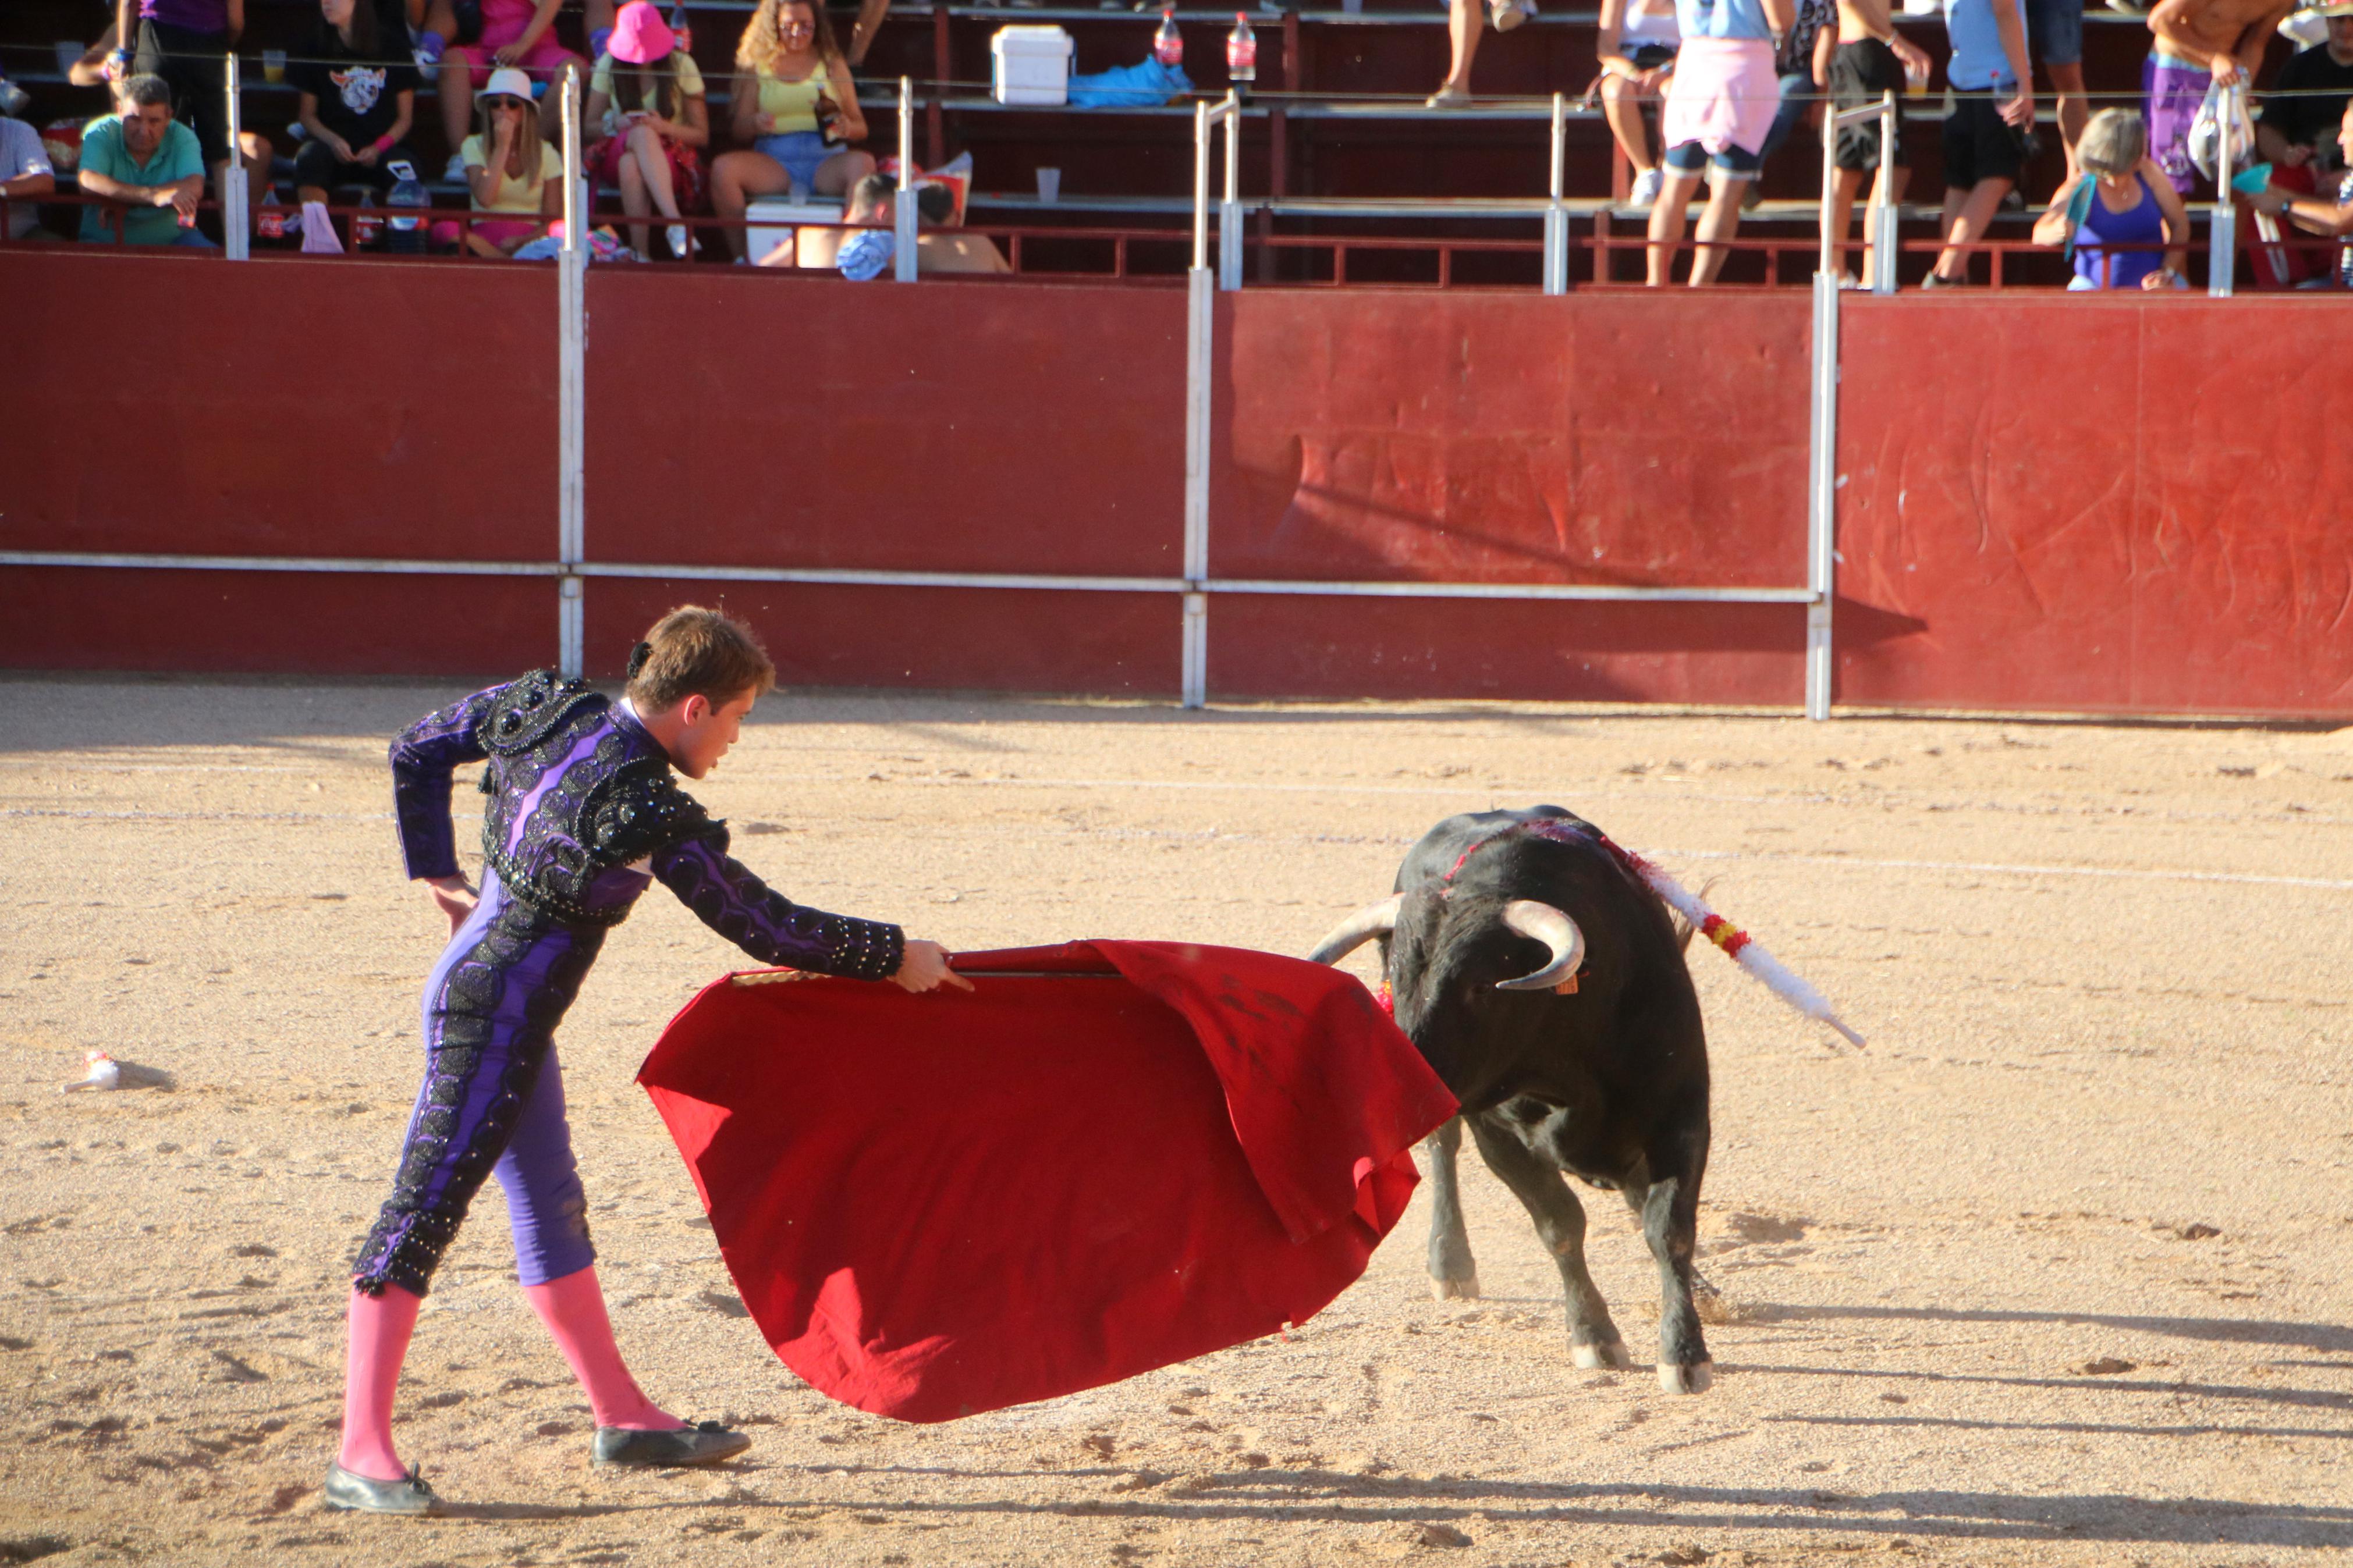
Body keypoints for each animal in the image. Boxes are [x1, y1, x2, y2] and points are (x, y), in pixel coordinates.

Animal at [1308, 808, 1713, 1401]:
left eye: (1481, 984)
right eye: (1397, 978)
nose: (1398, 1084)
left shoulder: (1680, 1115)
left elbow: (1668, 1228)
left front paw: (1684, 1352)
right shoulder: (1495, 1132)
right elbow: (1560, 1224)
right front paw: (1593, 1335)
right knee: (1443, 1149)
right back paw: (1449, 1262)